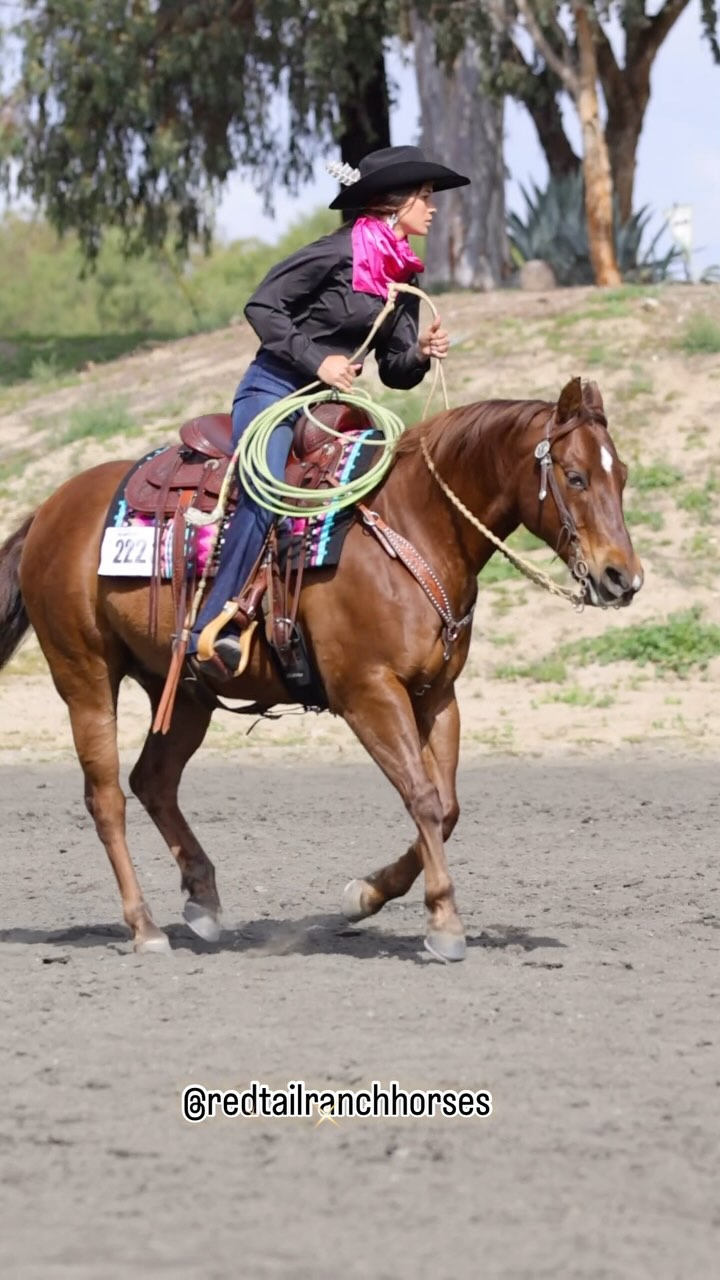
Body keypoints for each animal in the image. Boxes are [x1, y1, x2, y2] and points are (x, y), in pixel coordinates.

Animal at [0, 375, 642, 963]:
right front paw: (443, 922)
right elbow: (423, 797)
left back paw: (203, 901)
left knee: (153, 780)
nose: (623, 578)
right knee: (107, 796)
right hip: (85, 677)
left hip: (182, 691)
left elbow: (447, 804)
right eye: (576, 476)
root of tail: (51, 508)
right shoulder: (368, 693)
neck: (412, 523)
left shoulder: (437, 695)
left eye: (623, 475)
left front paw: (366, 894)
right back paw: (144, 927)